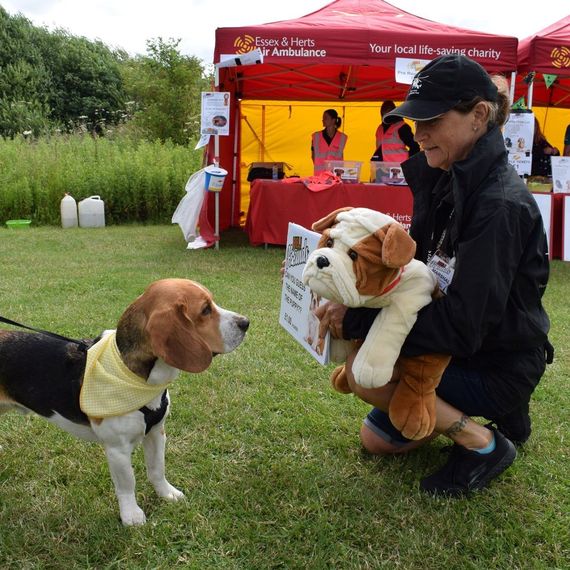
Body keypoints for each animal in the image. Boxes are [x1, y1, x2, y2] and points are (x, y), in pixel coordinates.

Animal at [0, 278, 248, 520]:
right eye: (205, 310)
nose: (246, 322)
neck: (140, 381)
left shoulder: (157, 432)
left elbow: (157, 470)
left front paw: (167, 494)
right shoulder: (117, 449)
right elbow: (127, 484)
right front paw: (131, 516)